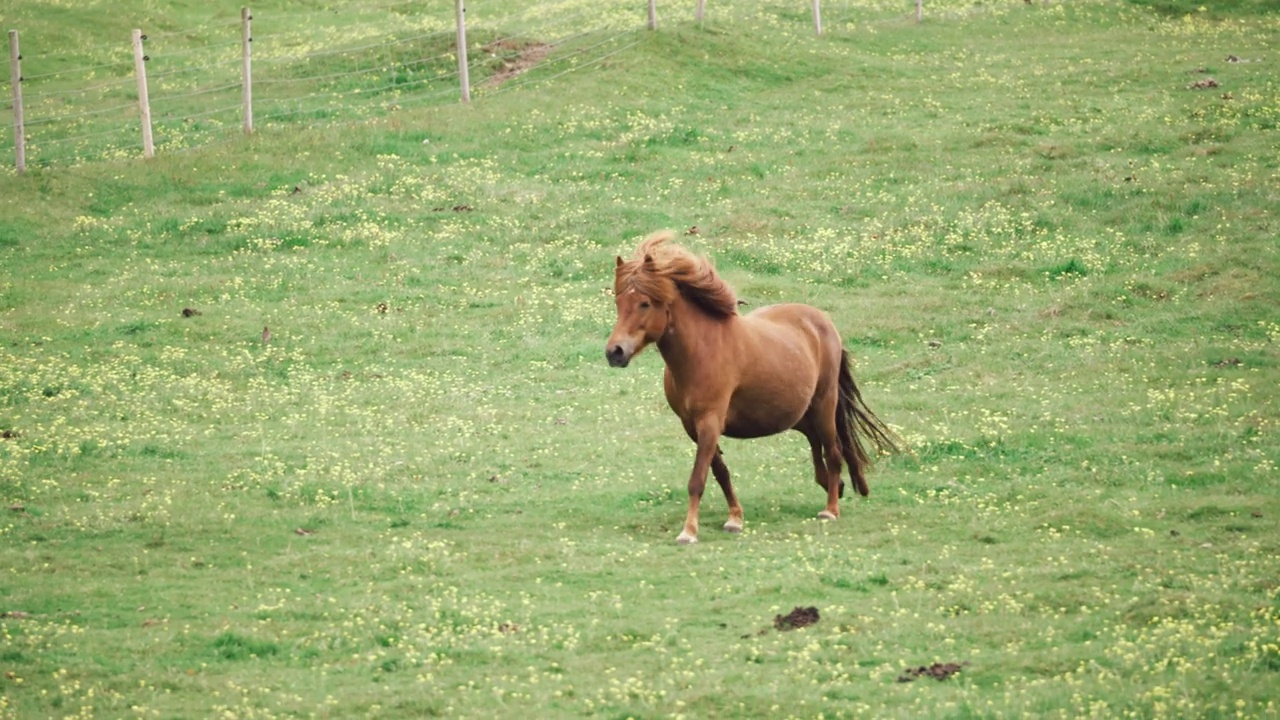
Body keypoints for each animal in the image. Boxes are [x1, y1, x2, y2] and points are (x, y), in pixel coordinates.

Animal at [606, 233, 901, 540]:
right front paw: (735, 518)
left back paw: (831, 509)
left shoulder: (710, 421)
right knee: (816, 442)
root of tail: (823, 322)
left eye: (644, 303)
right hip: (798, 412)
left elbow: (698, 479)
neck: (701, 350)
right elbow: (720, 472)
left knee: (833, 451)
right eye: (618, 302)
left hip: (824, 404)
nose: (615, 352)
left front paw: (689, 532)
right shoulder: (692, 426)